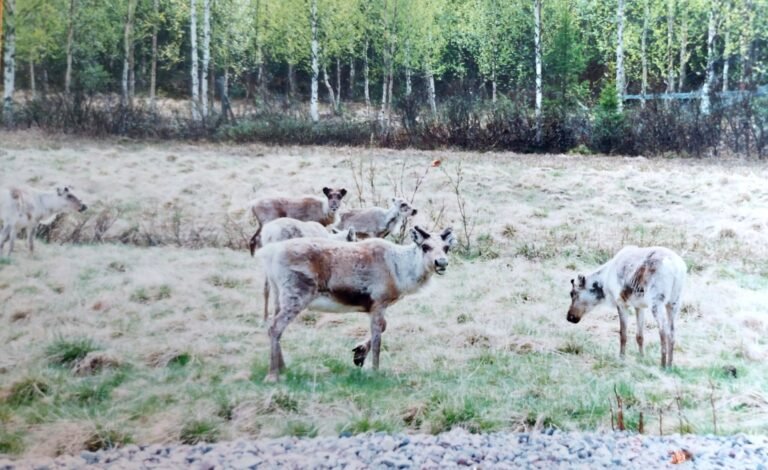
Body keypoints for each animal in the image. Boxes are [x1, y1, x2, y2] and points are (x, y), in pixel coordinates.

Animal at [257, 225, 457, 382]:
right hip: (297, 294)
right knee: (275, 327)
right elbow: (378, 338)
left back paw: (283, 368)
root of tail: (268, 254)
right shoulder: (379, 301)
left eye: (446, 247)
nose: (441, 262)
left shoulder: (373, 306)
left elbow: (384, 326)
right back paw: (272, 375)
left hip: (279, 295)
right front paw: (375, 371)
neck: (401, 273)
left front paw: (359, 354)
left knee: (273, 326)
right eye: (425, 246)